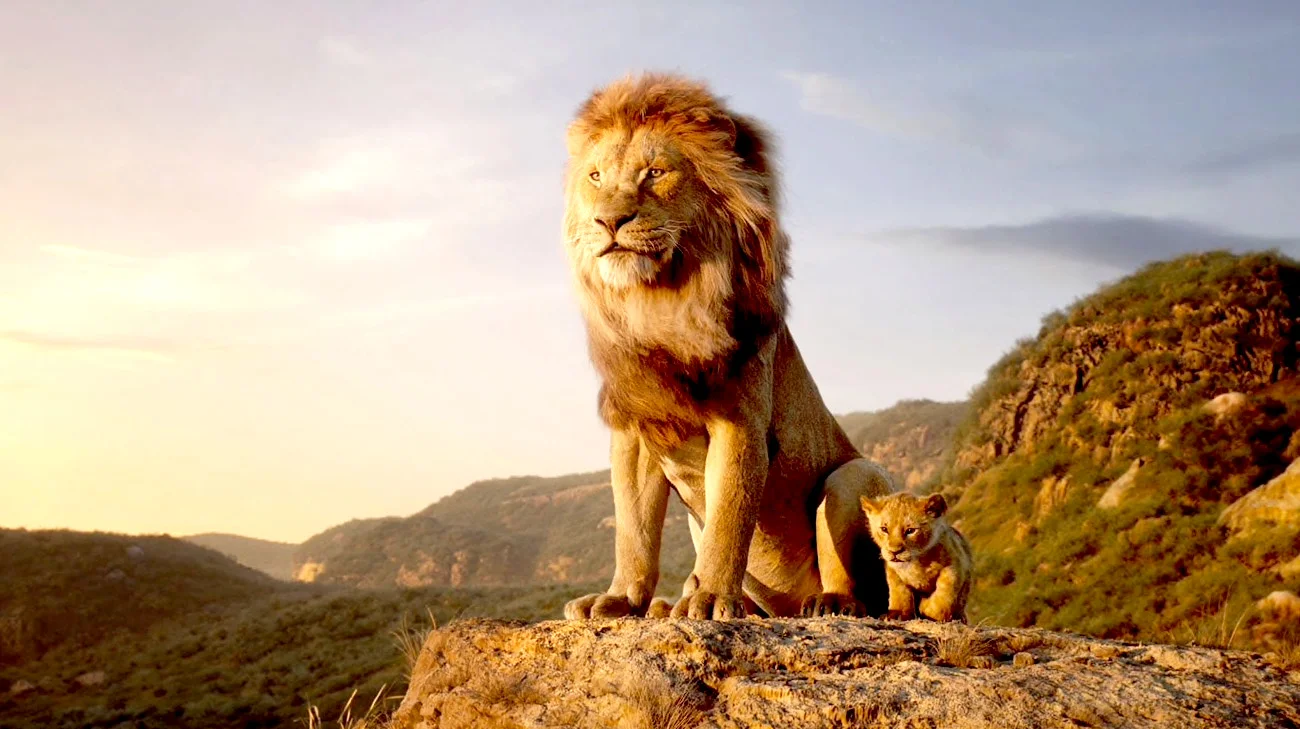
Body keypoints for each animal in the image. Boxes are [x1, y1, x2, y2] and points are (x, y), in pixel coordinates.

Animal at [558, 72, 897, 621]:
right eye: (595, 177)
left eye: (655, 173)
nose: (608, 222)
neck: (660, 304)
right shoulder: (636, 429)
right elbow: (633, 529)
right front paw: (621, 599)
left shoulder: (740, 421)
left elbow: (729, 518)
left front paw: (712, 597)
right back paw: (669, 605)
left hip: (852, 476)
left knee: (859, 588)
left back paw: (826, 603)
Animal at [859, 492, 973, 622]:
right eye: (884, 529)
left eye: (910, 530)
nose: (894, 552)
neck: (916, 562)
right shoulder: (893, 571)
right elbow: (899, 592)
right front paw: (897, 614)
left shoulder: (954, 564)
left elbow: (944, 595)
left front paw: (927, 608)